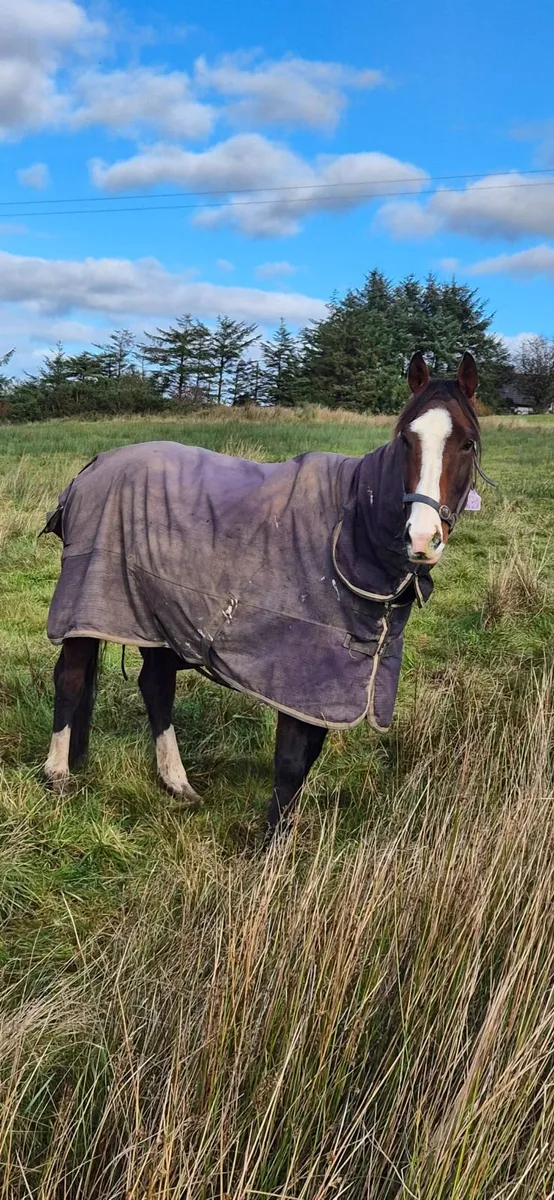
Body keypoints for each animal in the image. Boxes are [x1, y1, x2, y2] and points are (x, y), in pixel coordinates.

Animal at [42, 351, 485, 844]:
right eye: (406, 440)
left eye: (467, 444)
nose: (423, 538)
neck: (352, 528)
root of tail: (92, 467)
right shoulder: (304, 675)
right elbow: (291, 761)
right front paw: (270, 850)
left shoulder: (330, 686)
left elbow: (306, 759)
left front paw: (283, 839)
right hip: (86, 605)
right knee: (71, 678)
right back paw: (57, 774)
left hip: (157, 616)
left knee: (155, 686)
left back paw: (177, 782)